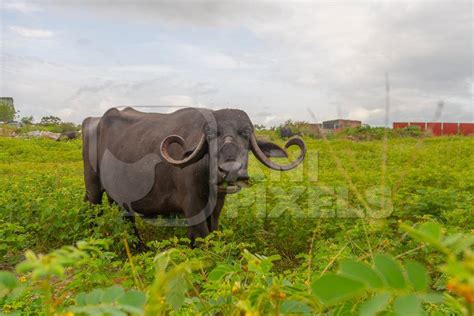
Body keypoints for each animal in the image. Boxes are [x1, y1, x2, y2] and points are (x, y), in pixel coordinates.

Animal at [83, 107, 306, 243]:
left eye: (246, 132)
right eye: (210, 134)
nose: (230, 170)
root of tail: (94, 121)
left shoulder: (215, 208)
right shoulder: (191, 206)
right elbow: (202, 236)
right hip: (93, 188)